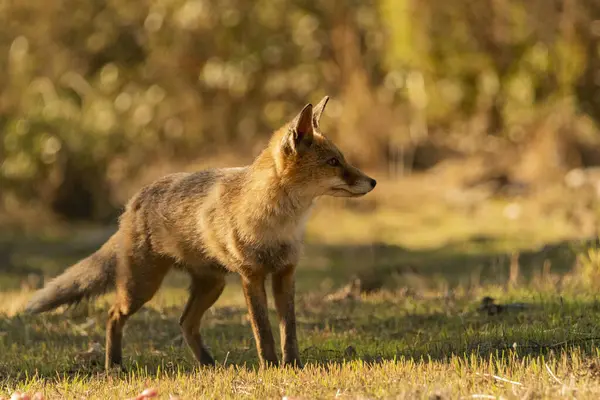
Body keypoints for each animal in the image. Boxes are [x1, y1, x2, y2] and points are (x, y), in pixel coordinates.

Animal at [28, 96, 378, 368]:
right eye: (333, 162)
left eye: (342, 159)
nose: (373, 181)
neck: (279, 224)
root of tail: (133, 202)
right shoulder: (251, 276)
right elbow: (263, 330)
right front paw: (269, 366)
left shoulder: (284, 273)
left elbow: (288, 330)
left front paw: (293, 366)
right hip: (141, 288)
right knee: (114, 315)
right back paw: (114, 365)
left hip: (212, 285)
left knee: (185, 323)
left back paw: (209, 364)